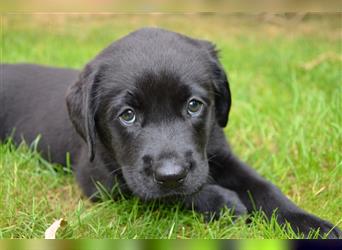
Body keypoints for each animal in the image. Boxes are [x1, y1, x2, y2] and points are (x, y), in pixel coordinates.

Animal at [0, 27, 340, 238]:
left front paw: (313, 227)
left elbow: (264, 188)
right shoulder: (100, 179)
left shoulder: (216, 151)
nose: (171, 173)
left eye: (193, 105)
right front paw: (223, 201)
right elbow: (165, 195)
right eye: (127, 115)